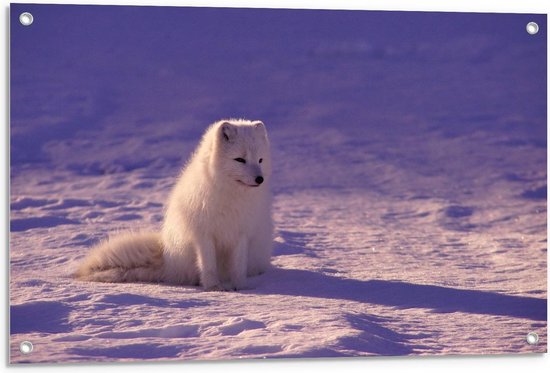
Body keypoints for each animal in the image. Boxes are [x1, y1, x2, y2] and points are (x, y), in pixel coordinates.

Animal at [76, 119, 274, 290]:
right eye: (240, 159)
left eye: (260, 160)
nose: (260, 179)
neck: (231, 196)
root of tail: (167, 260)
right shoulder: (203, 234)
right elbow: (208, 265)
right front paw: (213, 287)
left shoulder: (242, 233)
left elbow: (238, 266)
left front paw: (240, 287)